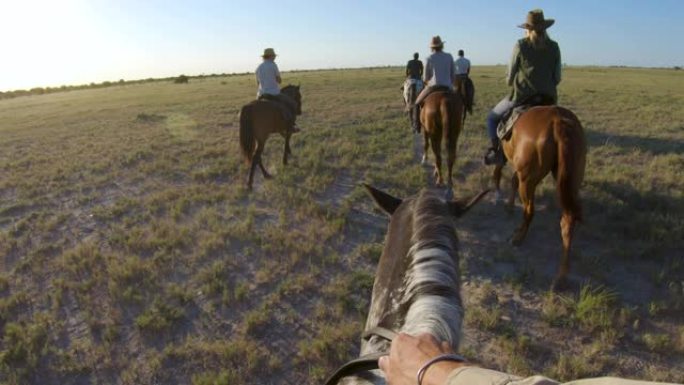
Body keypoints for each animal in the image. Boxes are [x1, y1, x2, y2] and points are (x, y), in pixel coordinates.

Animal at [492, 105, 588, 292]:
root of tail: (558, 121)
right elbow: (512, 180)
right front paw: (509, 206)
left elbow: (507, 176)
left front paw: (508, 206)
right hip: (570, 181)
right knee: (567, 222)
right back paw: (561, 277)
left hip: (528, 180)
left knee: (529, 211)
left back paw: (517, 239)